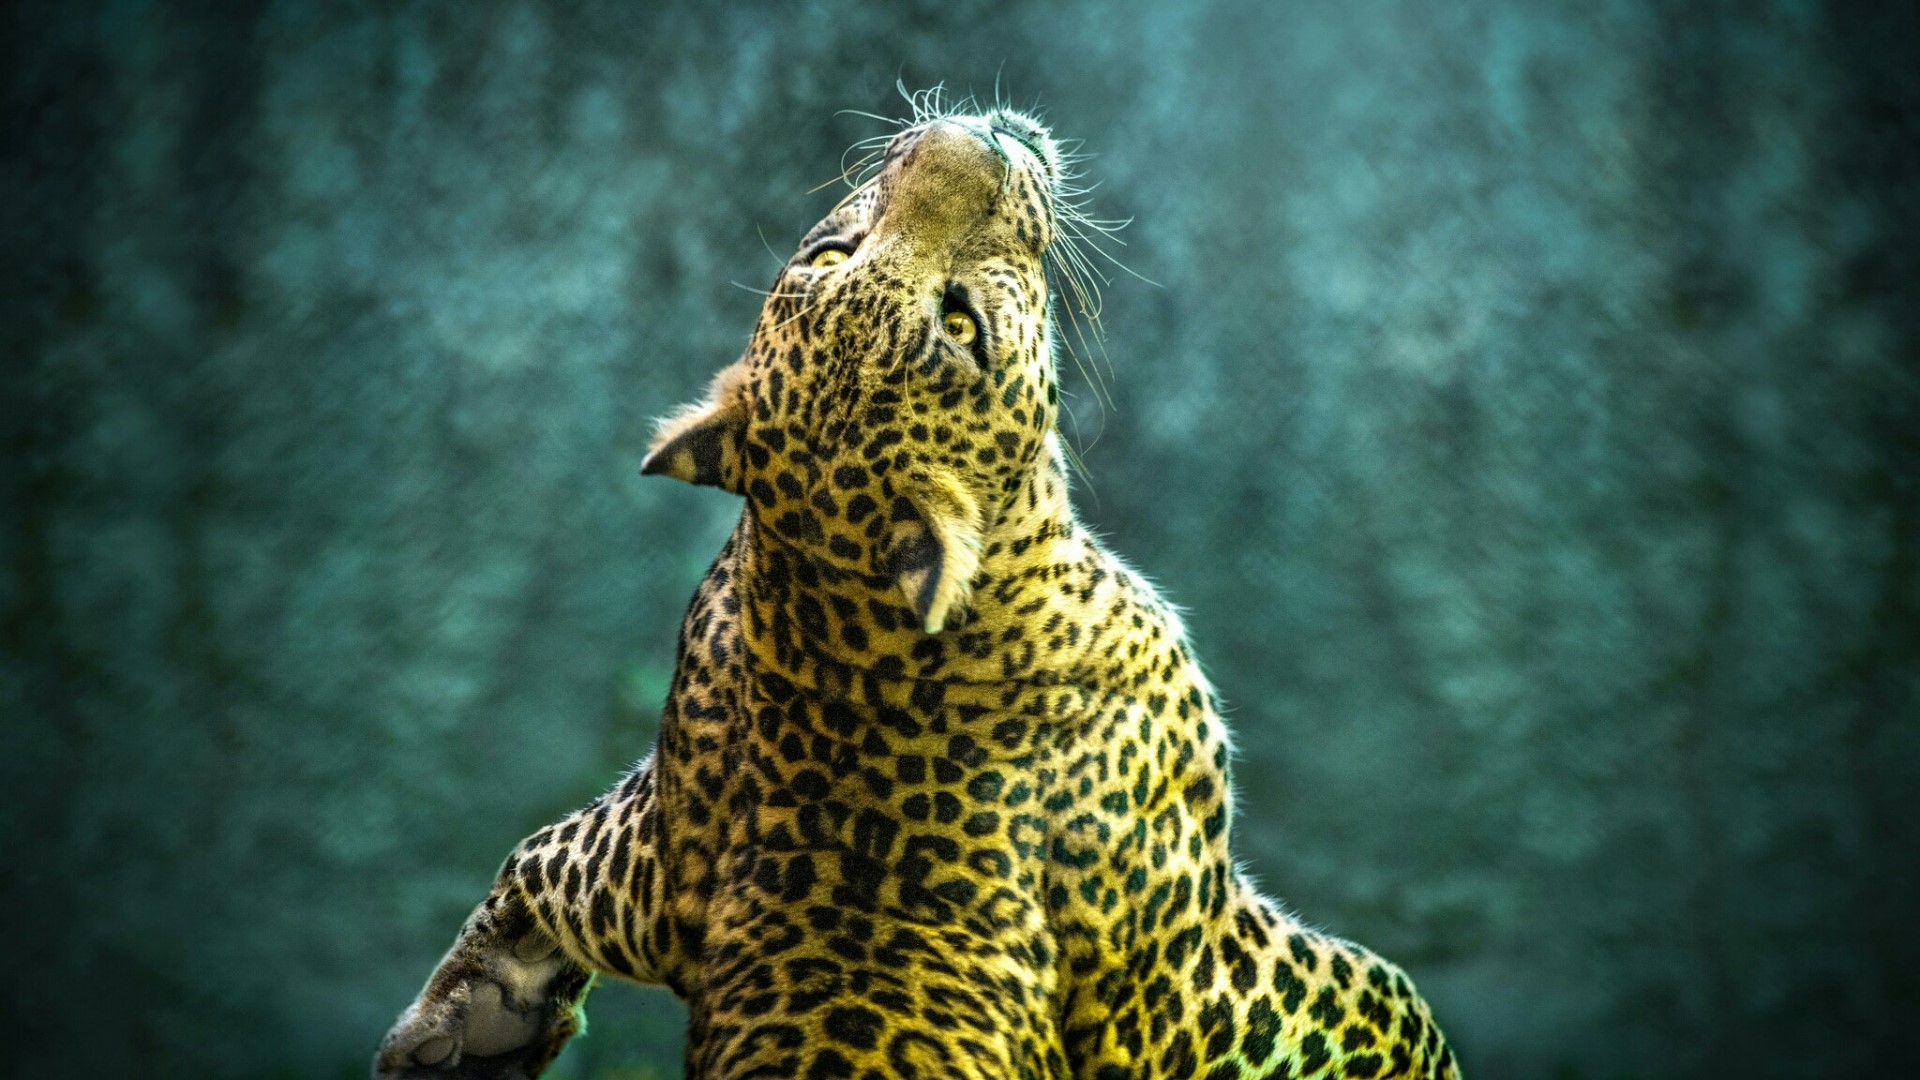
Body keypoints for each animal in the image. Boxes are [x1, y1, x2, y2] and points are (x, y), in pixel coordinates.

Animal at [375, 96, 1461, 1080]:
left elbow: (541, 853)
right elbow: (1383, 1000)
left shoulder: (666, 843)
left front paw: (463, 1023)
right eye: (961, 323)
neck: (839, 610)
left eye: (832, 257)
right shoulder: (1184, 966)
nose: (971, 139)